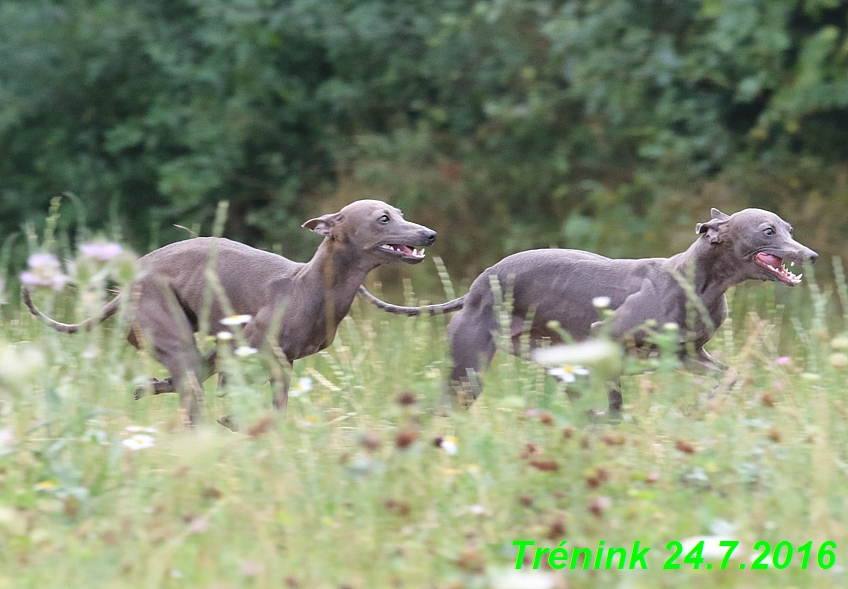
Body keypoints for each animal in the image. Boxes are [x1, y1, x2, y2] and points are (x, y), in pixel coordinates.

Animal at [26, 200, 438, 424]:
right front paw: (234, 419)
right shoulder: (251, 348)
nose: (429, 234)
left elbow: (276, 408)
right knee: (191, 393)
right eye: (383, 218)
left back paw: (153, 388)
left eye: (399, 213)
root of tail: (128, 282)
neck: (310, 285)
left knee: (184, 381)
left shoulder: (278, 361)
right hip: (174, 331)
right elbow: (236, 393)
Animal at [362, 209, 820, 412]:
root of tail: (477, 285)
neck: (698, 281)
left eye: (789, 229)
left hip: (551, 359)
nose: (811, 255)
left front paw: (704, 406)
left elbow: (729, 375)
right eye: (768, 231)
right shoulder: (609, 339)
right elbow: (616, 402)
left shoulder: (688, 355)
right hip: (469, 366)